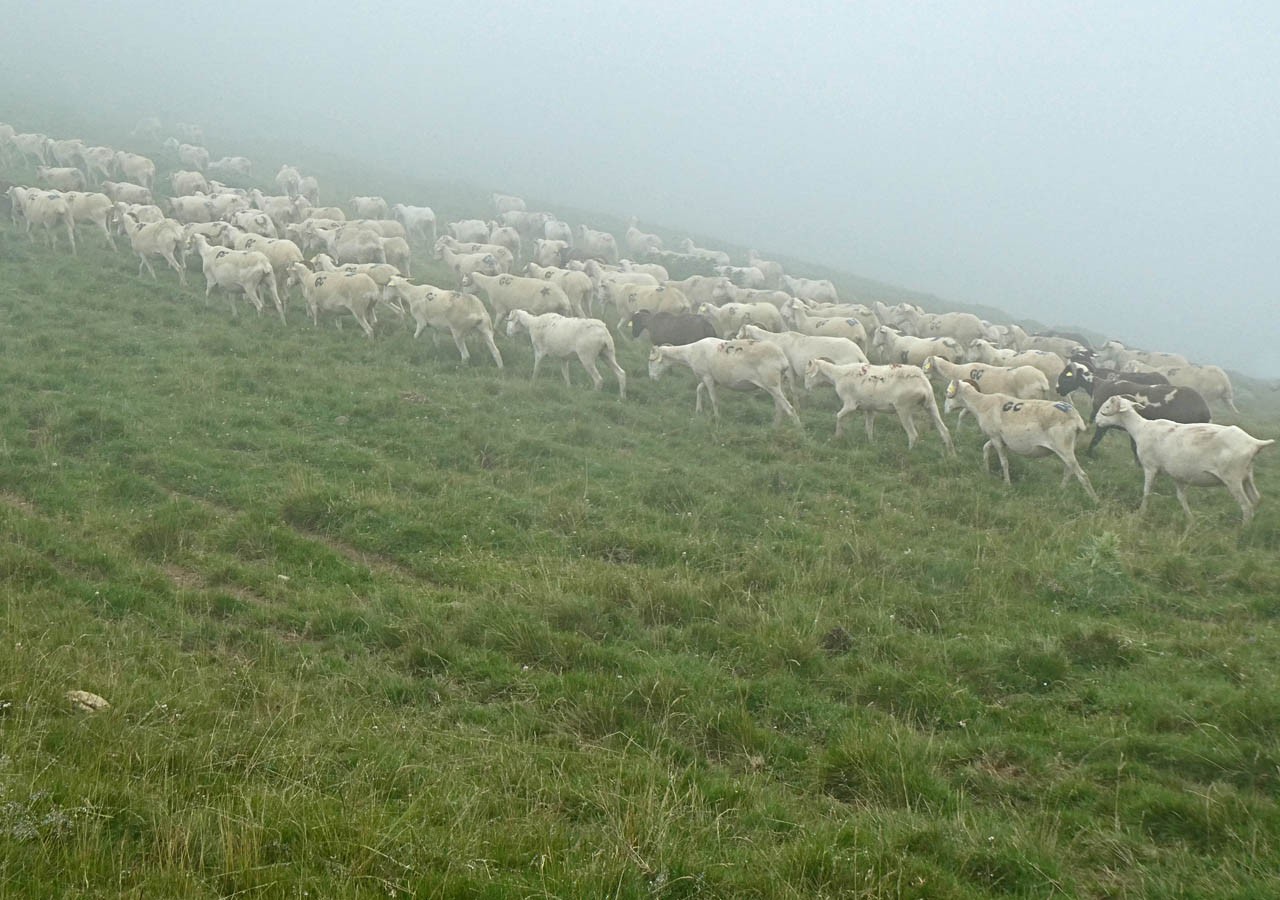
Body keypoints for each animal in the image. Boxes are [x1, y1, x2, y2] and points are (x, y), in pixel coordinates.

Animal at [947, 373, 1095, 496]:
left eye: (948, 392)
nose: (945, 410)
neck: (981, 403)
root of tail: (1075, 417)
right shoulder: (998, 438)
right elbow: (985, 448)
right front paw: (986, 471)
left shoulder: (995, 437)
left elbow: (1004, 463)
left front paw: (1007, 484)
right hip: (1069, 447)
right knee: (1068, 471)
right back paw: (1061, 490)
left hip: (1063, 447)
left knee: (1082, 475)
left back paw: (1094, 500)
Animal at [1095, 396, 1274, 524]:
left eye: (1106, 407)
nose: (1096, 420)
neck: (1141, 428)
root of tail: (1254, 443)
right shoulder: (1178, 475)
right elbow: (1181, 498)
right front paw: (1191, 520)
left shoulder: (1150, 467)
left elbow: (1147, 492)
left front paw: (1141, 513)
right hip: (1246, 475)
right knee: (1256, 499)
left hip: (1233, 478)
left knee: (1246, 506)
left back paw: (1241, 532)